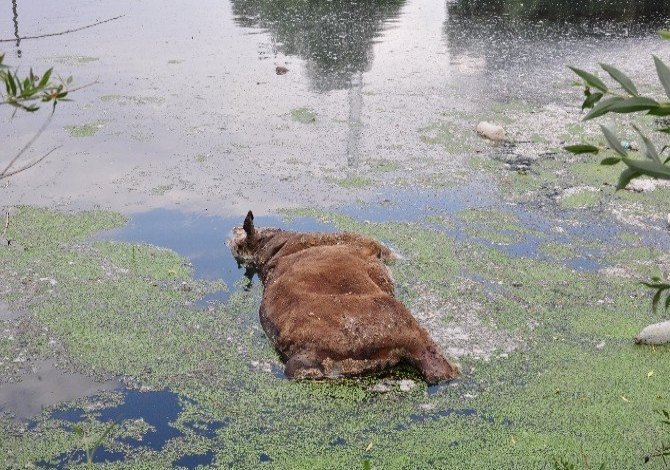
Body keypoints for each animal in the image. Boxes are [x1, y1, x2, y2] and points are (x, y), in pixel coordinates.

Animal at [228, 211, 460, 384]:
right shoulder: (367, 242)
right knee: (437, 359)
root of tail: (307, 353)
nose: (233, 229)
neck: (275, 248)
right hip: (399, 317)